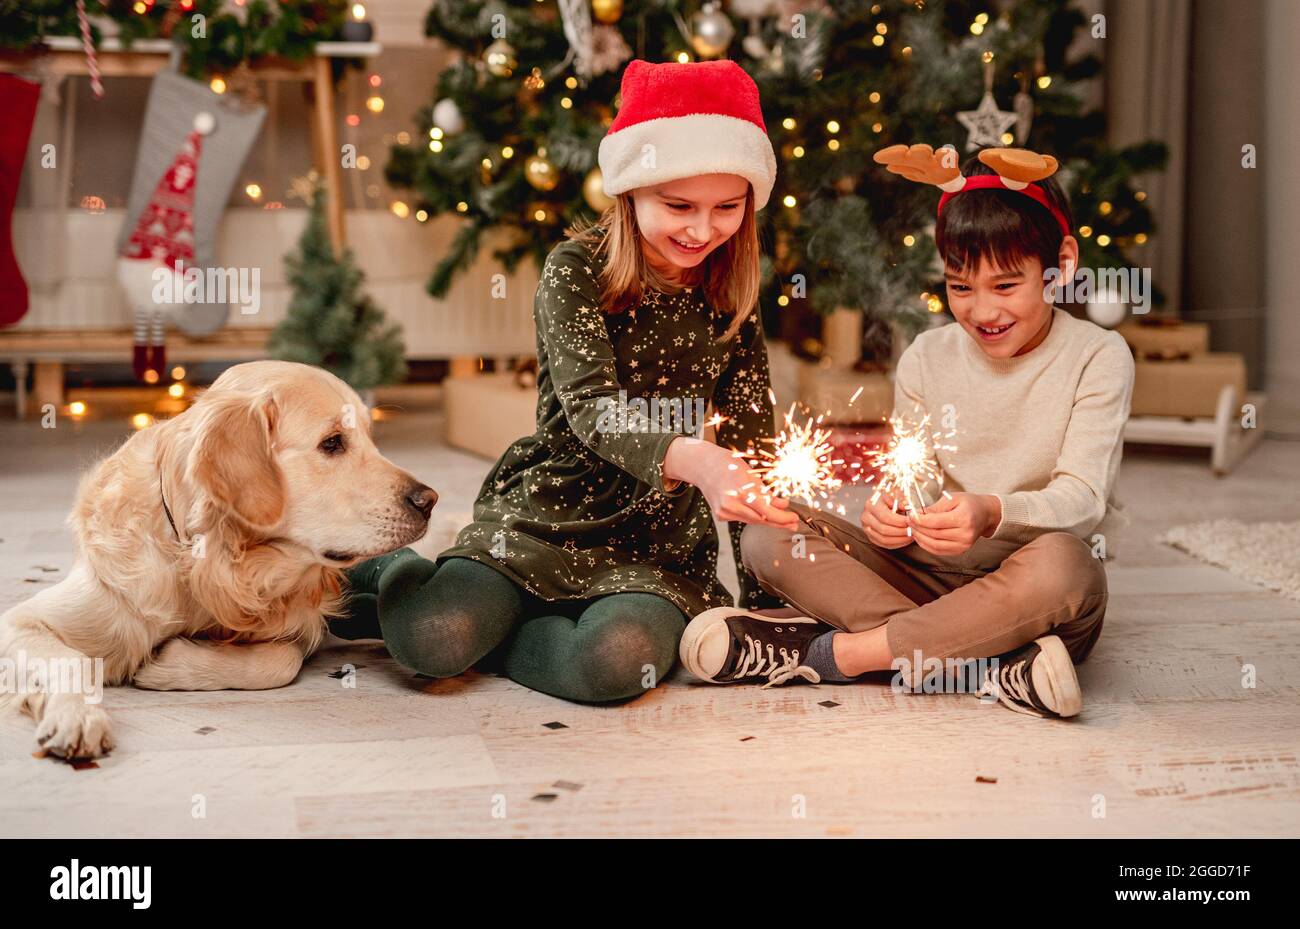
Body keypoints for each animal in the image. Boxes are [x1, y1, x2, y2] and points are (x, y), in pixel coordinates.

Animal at [0, 358, 436, 758]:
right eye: (332, 443)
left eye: (371, 438)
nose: (428, 500)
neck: (208, 567)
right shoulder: (25, 622)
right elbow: (69, 660)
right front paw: (76, 717)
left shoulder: (302, 623)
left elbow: (281, 660)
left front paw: (169, 663)